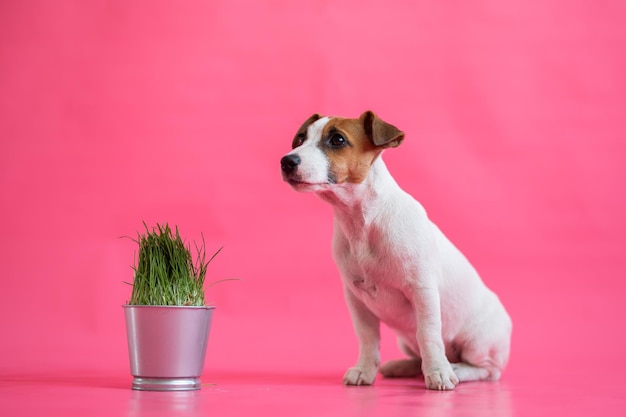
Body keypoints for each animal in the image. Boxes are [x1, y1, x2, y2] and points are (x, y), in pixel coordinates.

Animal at [280, 111, 510, 390]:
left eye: (337, 140)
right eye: (300, 139)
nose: (286, 161)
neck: (362, 222)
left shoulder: (422, 290)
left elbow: (428, 334)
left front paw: (439, 373)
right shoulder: (357, 299)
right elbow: (368, 338)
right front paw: (365, 370)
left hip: (478, 342)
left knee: (487, 370)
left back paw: (456, 369)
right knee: (418, 357)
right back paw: (402, 366)